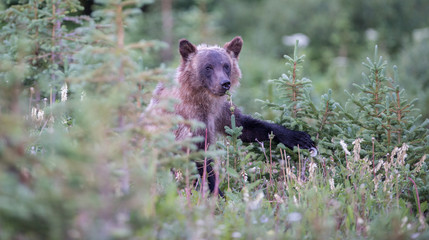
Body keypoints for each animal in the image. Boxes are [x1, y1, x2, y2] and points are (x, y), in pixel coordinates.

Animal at [150, 36, 314, 197]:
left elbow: (243, 126)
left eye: (226, 65)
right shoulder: (187, 120)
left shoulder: (220, 112)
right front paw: (218, 193)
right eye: (208, 67)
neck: (203, 99)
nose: (225, 83)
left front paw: (298, 138)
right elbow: (199, 159)